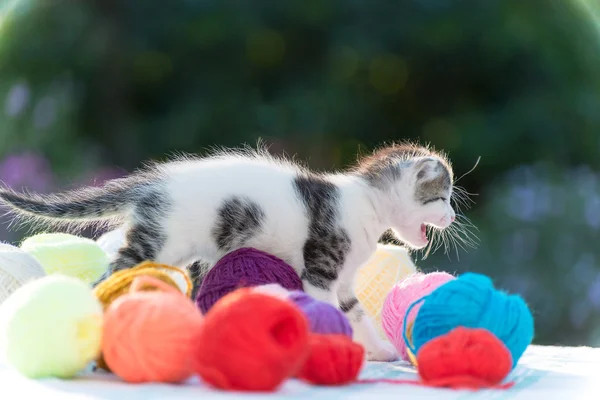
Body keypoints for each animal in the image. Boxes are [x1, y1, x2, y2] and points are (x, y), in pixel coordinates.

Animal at [0, 142, 458, 360]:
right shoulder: (320, 270)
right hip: (158, 241)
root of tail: (152, 184)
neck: (366, 205)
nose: (453, 216)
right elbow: (328, 311)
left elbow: (358, 314)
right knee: (107, 276)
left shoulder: (342, 281)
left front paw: (380, 350)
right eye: (442, 196)